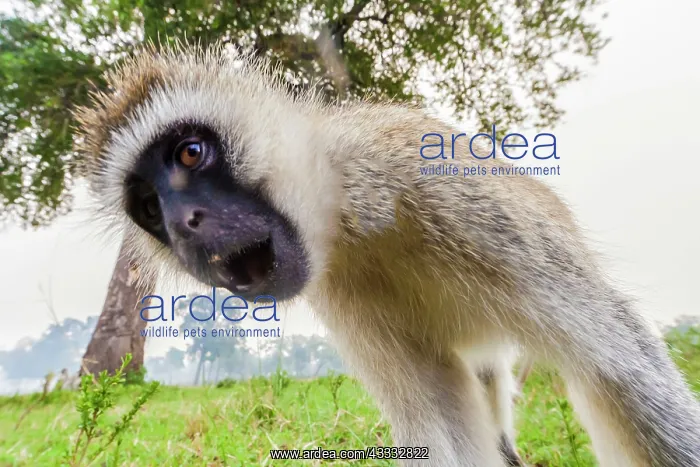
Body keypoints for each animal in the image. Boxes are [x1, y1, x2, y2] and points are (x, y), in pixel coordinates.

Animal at [75, 43, 700, 467]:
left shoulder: (438, 185)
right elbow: (440, 428)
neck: (353, 219)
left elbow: (621, 365)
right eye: (149, 208)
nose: (183, 226)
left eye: (190, 153)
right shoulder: (341, 290)